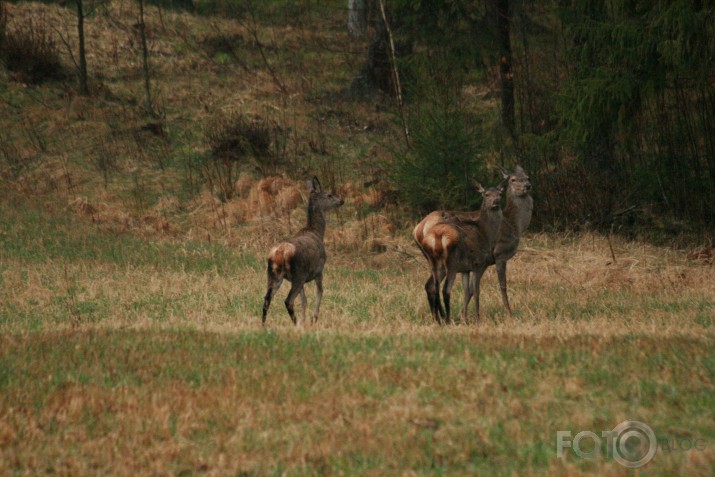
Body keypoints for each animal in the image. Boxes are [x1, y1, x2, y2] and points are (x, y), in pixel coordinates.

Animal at [262, 177, 346, 326]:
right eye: (329, 195)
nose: (342, 200)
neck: (317, 232)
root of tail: (281, 252)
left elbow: (304, 300)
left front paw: (304, 320)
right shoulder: (319, 270)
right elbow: (320, 292)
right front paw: (313, 318)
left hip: (273, 274)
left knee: (266, 299)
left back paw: (263, 325)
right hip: (298, 274)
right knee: (288, 300)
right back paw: (295, 324)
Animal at [414, 181, 504, 324]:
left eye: (500, 193)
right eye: (486, 194)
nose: (496, 201)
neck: (486, 233)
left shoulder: (465, 269)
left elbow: (466, 291)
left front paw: (465, 319)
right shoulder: (478, 263)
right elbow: (476, 291)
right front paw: (477, 318)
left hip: (434, 262)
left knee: (432, 286)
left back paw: (438, 319)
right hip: (451, 263)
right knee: (445, 290)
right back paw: (447, 319)